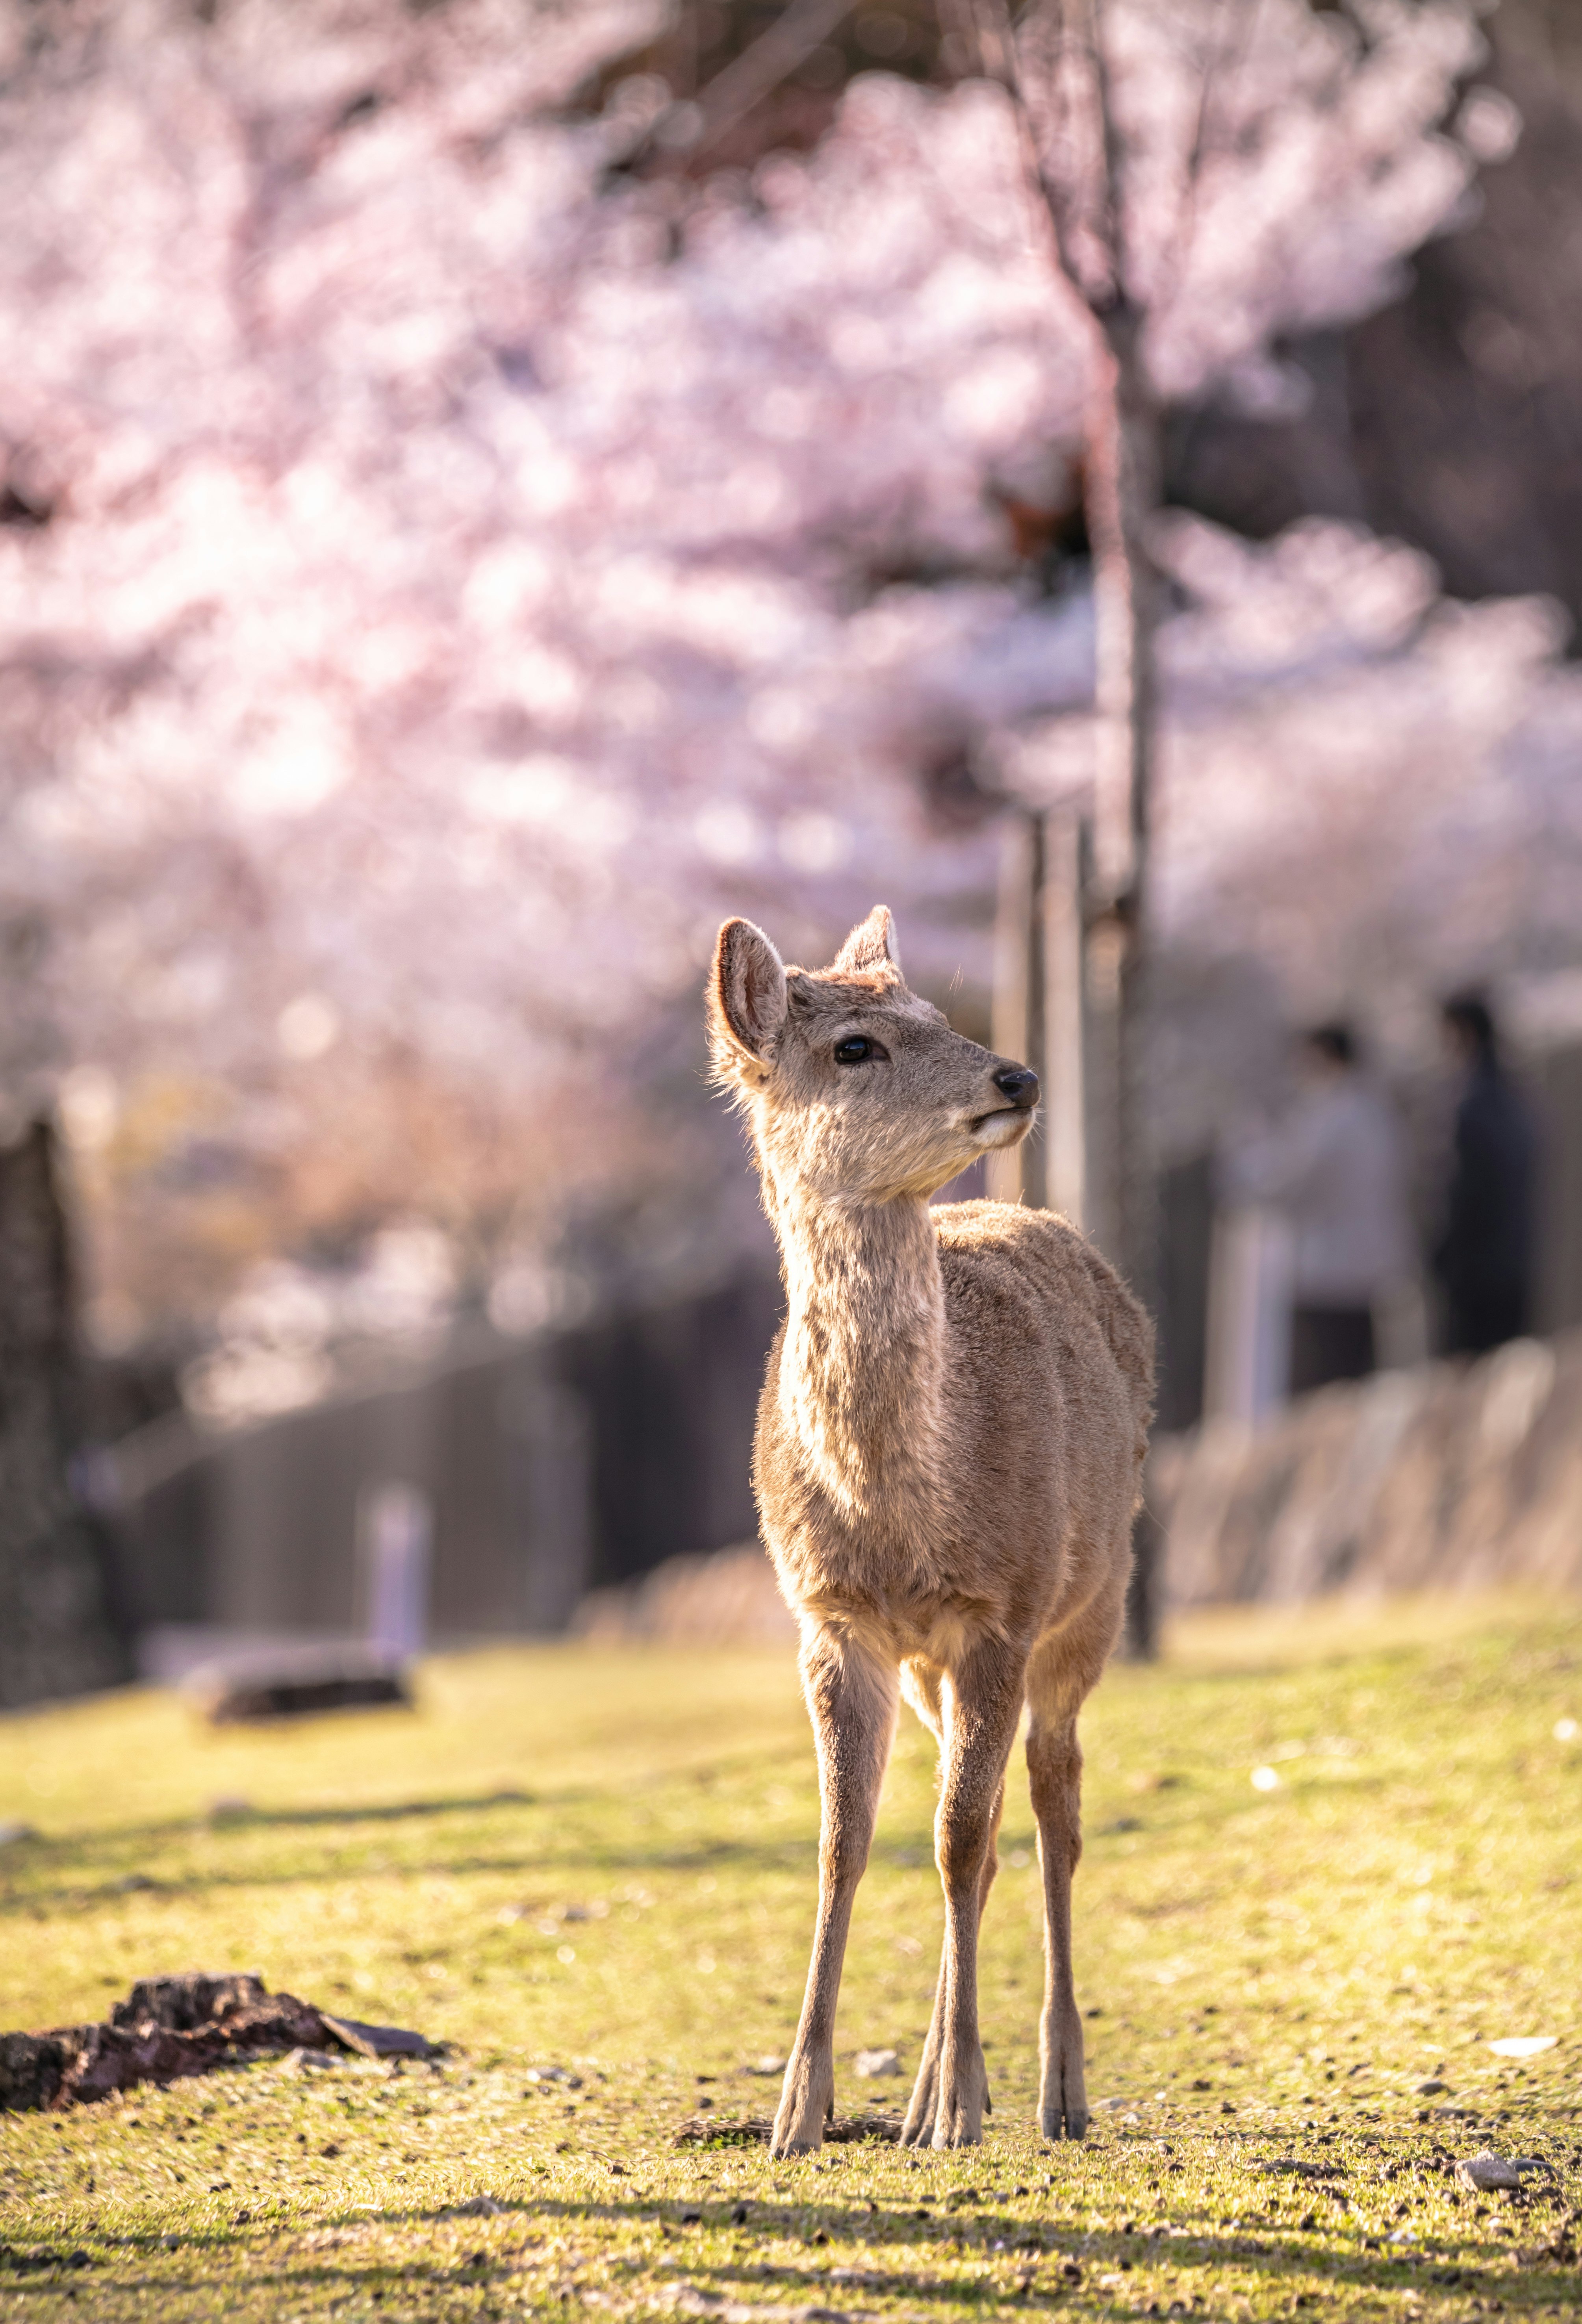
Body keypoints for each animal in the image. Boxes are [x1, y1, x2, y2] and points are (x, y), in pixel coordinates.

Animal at [707, 904, 1153, 2155]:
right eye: (854, 1044)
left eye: (939, 1013)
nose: (1018, 1073)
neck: (900, 1514)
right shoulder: (831, 1622)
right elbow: (843, 1842)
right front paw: (799, 2111)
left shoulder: (1001, 1605)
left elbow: (956, 1834)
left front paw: (954, 2104)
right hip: (932, 1671)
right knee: (994, 1820)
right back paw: (932, 2093)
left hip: (1091, 1604)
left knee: (1051, 1806)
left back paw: (1054, 2090)